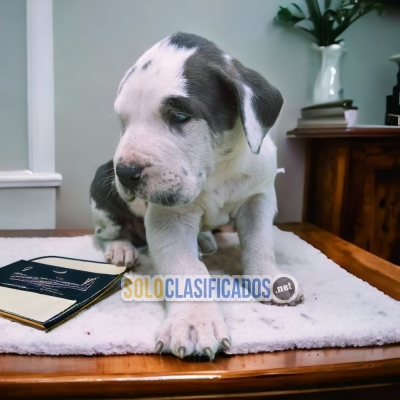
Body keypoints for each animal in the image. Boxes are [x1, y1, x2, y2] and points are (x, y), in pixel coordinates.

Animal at [90, 32, 304, 360]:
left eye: (179, 115)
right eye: (124, 122)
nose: (125, 172)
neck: (217, 169)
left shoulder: (258, 199)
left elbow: (261, 242)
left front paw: (269, 279)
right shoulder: (168, 217)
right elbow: (186, 267)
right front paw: (194, 323)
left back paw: (204, 240)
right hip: (102, 193)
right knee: (106, 232)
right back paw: (121, 249)